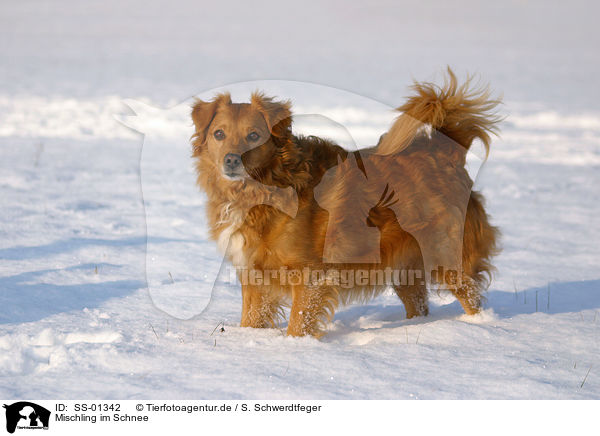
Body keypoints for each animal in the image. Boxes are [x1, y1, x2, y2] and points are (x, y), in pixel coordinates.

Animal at [192, 70, 502, 338]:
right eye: (218, 134)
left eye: (254, 136)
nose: (232, 160)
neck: (264, 189)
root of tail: (446, 150)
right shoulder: (254, 275)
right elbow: (251, 319)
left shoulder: (310, 276)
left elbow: (298, 322)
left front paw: (294, 347)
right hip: (405, 269)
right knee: (419, 306)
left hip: (447, 257)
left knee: (471, 297)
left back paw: (479, 328)